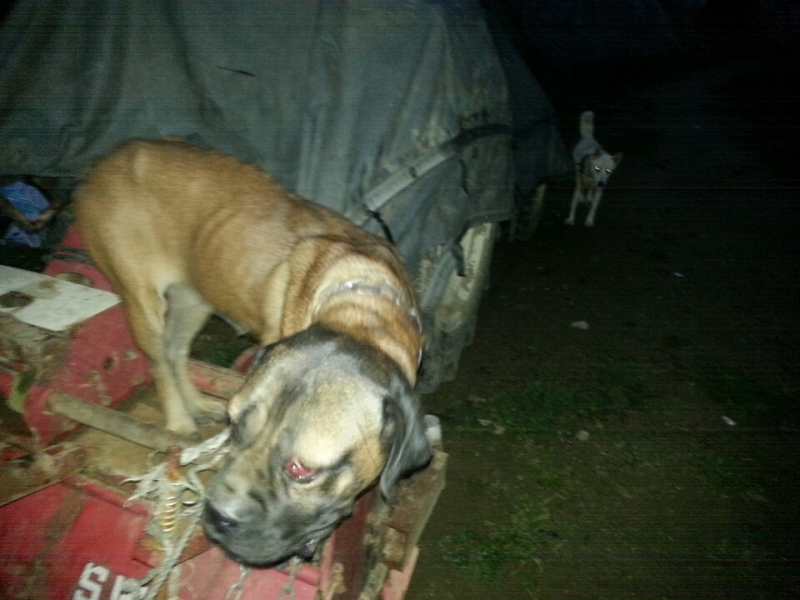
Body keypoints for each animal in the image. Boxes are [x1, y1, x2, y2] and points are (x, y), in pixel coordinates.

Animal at [74, 139, 431, 565]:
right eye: (235, 426)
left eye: (301, 470)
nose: (215, 516)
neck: (364, 314)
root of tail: (104, 161)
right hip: (141, 297)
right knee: (160, 358)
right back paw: (178, 422)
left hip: (194, 296)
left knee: (176, 350)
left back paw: (195, 404)